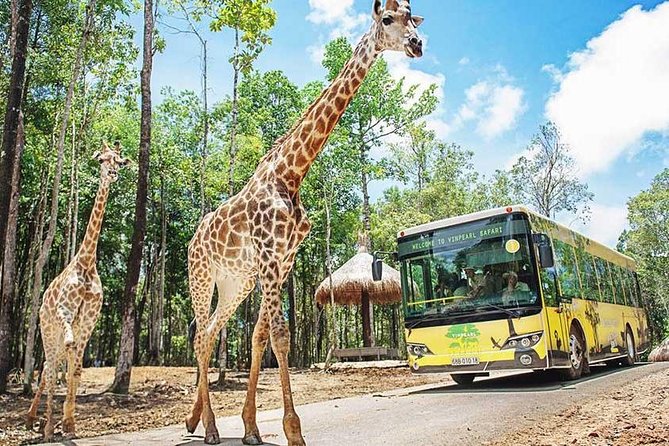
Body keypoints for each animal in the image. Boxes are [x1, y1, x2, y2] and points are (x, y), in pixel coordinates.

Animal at [26, 141, 130, 440]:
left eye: (119, 161)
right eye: (101, 159)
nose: (112, 174)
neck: (86, 263)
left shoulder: (89, 320)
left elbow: (77, 369)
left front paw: (70, 424)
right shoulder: (66, 312)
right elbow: (65, 362)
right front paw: (55, 426)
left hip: (58, 334)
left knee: (51, 365)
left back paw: (37, 420)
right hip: (48, 330)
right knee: (48, 368)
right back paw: (42, 424)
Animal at [184, 1, 422, 444]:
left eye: (411, 16)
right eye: (387, 19)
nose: (417, 44)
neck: (291, 173)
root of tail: (192, 240)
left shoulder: (283, 260)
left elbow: (260, 336)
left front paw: (251, 427)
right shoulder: (268, 255)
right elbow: (280, 336)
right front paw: (293, 430)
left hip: (235, 283)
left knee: (207, 334)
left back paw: (198, 421)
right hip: (201, 275)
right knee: (199, 336)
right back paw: (208, 428)